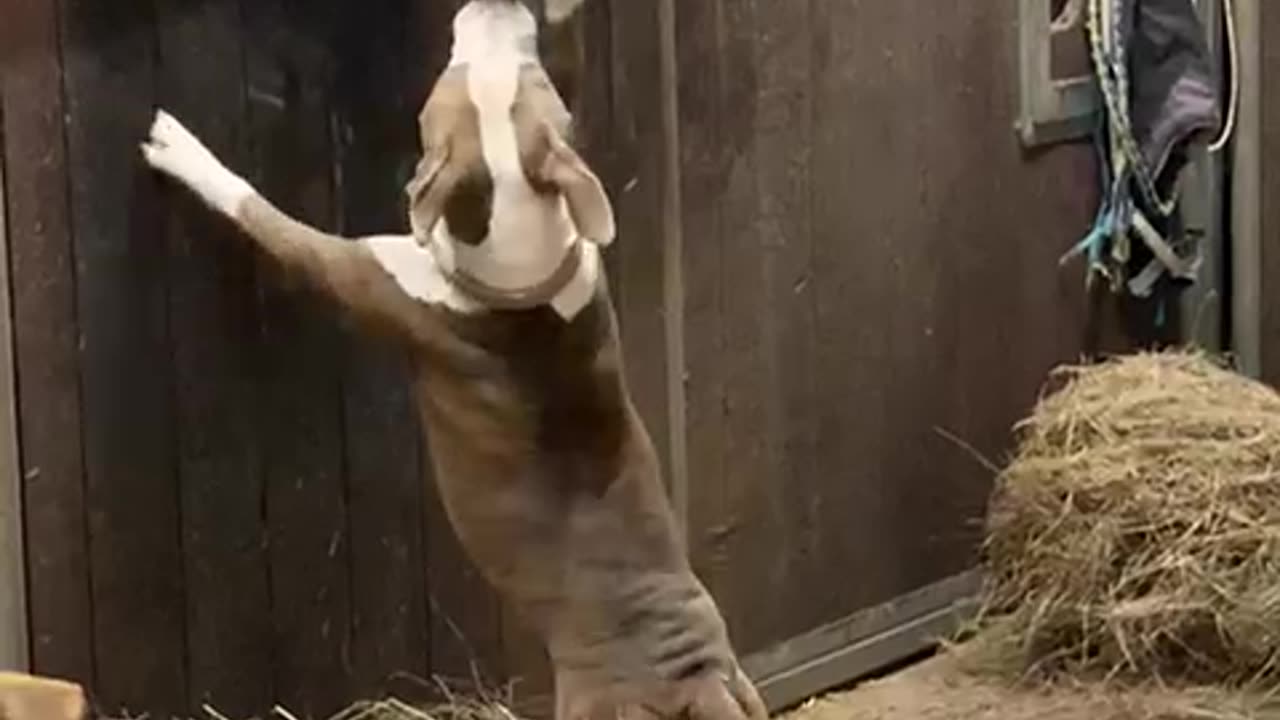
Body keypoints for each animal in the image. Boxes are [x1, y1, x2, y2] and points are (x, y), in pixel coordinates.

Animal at [140, 1, 762, 717]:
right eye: (518, 71)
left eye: (449, 82)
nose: (500, 4)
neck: (523, 256)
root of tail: (694, 678)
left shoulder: (358, 269)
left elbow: (263, 215)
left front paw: (181, 150)